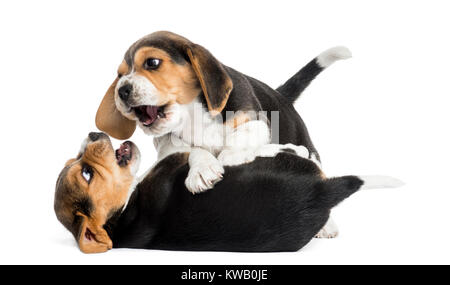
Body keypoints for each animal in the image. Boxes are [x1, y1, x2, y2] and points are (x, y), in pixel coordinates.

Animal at [52, 132, 400, 252]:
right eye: (86, 173)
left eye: (76, 162)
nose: (92, 133)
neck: (123, 220)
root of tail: (320, 191)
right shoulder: (178, 158)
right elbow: (202, 152)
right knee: (277, 153)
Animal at [95, 30, 352, 193]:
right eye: (120, 75)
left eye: (152, 63)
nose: (122, 90)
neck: (193, 114)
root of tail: (282, 96)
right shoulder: (167, 145)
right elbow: (194, 149)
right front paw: (202, 169)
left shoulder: (256, 121)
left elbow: (238, 139)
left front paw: (232, 155)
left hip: (307, 145)